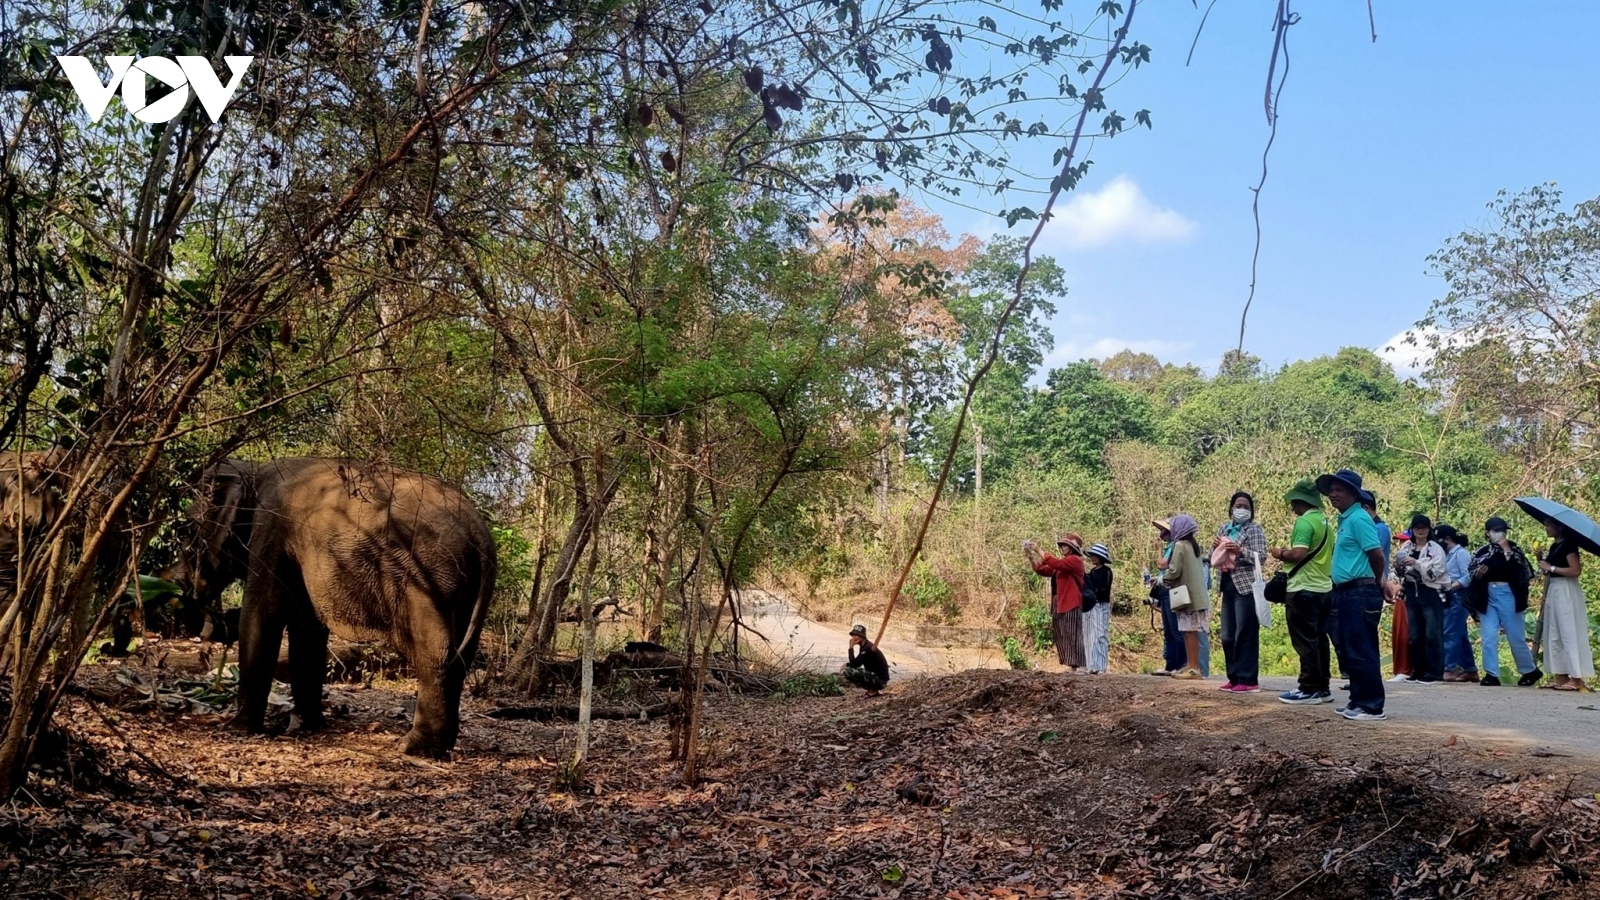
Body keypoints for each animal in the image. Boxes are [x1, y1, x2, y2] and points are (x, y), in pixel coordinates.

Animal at [171, 454, 496, 755]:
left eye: (185, 530)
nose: (181, 586)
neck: (253, 469)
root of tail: (480, 535)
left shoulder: (271, 530)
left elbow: (264, 614)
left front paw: (238, 728)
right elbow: (306, 628)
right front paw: (304, 726)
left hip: (429, 579)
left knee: (434, 654)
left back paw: (412, 748)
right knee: (461, 658)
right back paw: (438, 747)